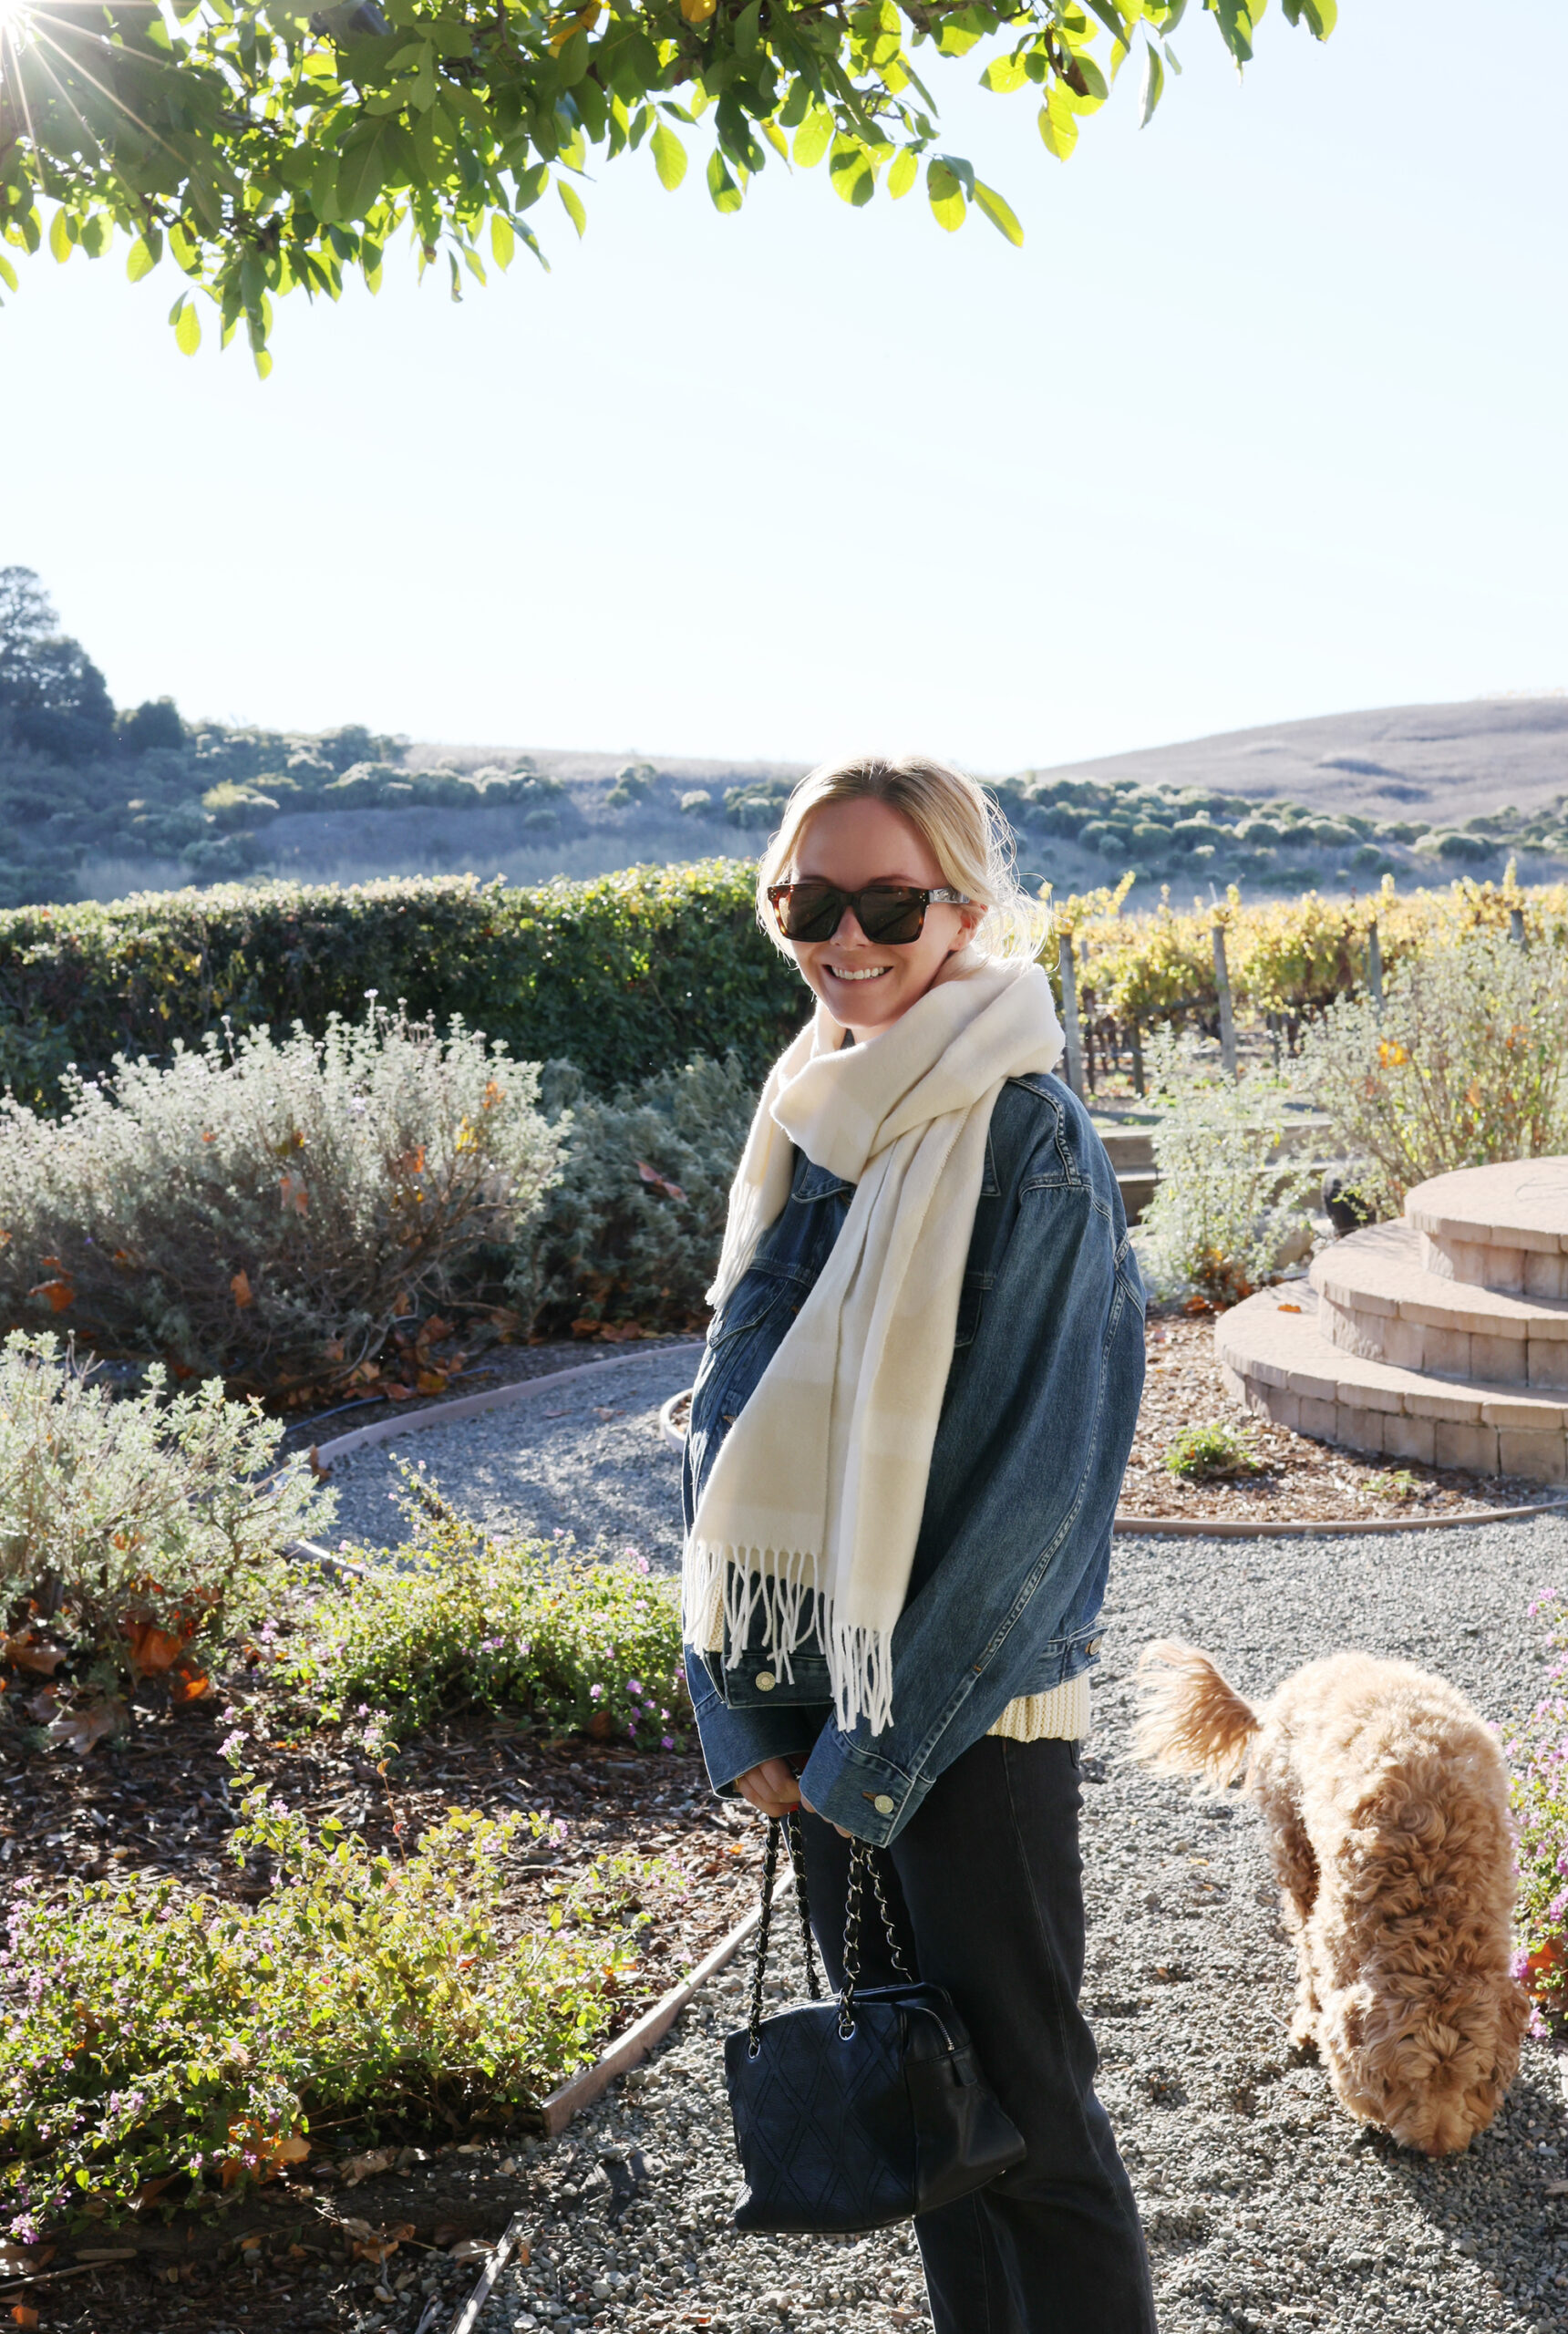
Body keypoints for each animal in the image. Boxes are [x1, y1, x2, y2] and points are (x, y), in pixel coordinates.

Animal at [1133, 1642, 1529, 2156]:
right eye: (1408, 2081)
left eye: (1469, 2079)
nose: (1436, 2148)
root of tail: (1284, 1693)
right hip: (1294, 1842)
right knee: (1302, 1937)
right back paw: (1307, 2018)